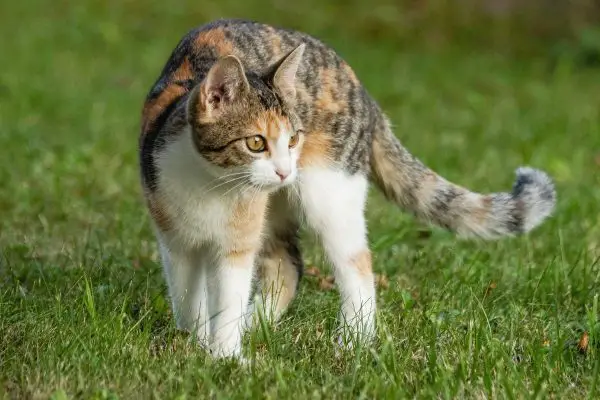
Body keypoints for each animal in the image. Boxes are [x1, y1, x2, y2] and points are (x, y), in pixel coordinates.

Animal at [138, 18, 556, 358]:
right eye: (256, 143)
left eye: (293, 139)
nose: (285, 171)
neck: (212, 186)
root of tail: (362, 89)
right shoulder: (175, 240)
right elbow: (188, 297)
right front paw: (193, 344)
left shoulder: (237, 243)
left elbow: (227, 297)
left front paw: (224, 357)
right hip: (277, 207)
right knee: (288, 264)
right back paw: (255, 324)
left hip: (327, 191)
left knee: (356, 265)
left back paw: (353, 341)